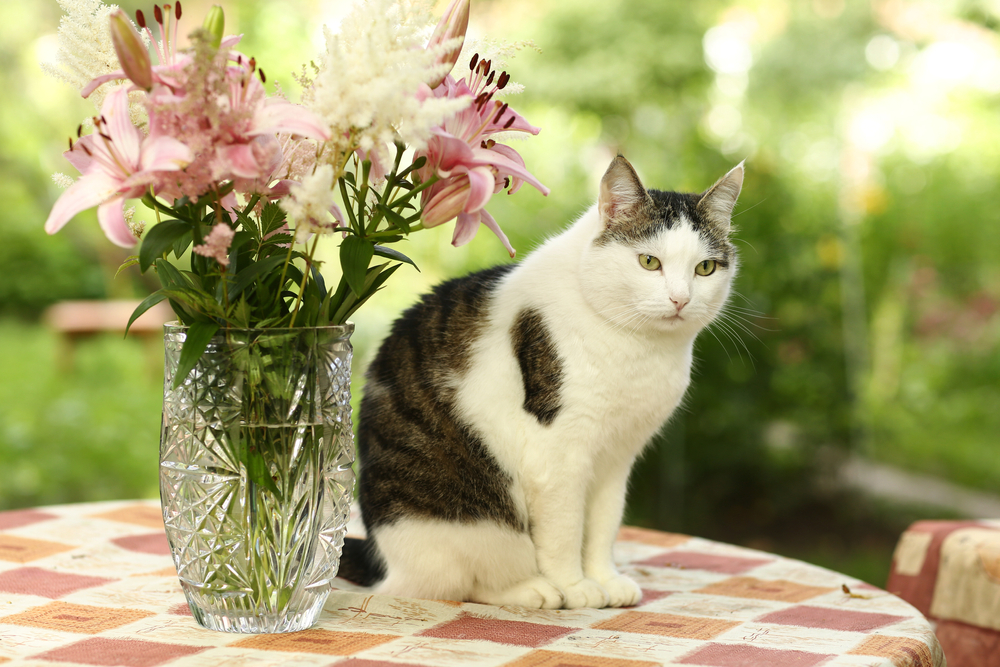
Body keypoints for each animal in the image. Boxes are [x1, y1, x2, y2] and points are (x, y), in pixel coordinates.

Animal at [338, 155, 744, 612]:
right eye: (649, 262)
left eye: (704, 268)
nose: (680, 300)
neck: (639, 348)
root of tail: (381, 559)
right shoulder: (557, 455)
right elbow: (564, 530)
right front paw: (576, 586)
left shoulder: (617, 457)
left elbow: (604, 525)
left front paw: (606, 578)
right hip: (477, 524)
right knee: (458, 582)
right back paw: (534, 590)